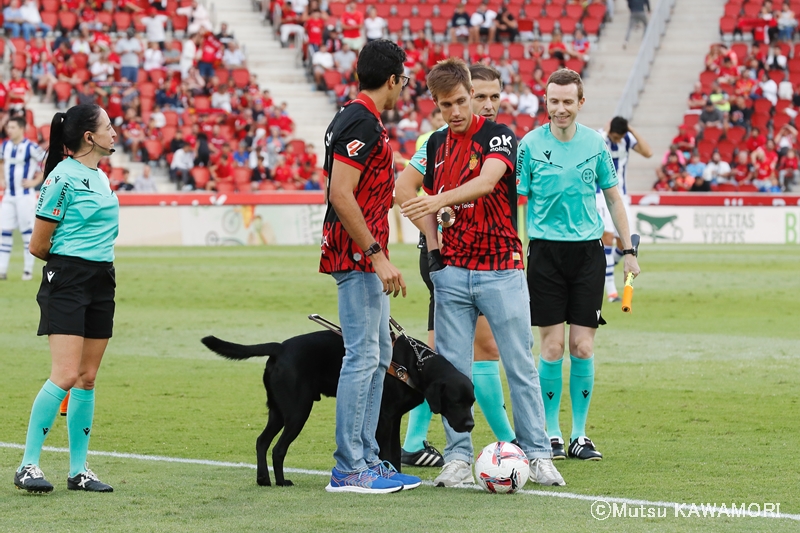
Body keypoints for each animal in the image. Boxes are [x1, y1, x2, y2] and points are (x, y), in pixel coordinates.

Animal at [202, 328, 476, 486]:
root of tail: (279, 347)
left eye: (472, 402)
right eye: (455, 402)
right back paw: (281, 481)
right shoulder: (385, 418)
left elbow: (396, 453)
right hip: (297, 411)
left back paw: (263, 479)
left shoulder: (394, 418)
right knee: (278, 449)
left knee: (261, 441)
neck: (414, 364)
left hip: (279, 411)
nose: (471, 424)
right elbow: (388, 453)